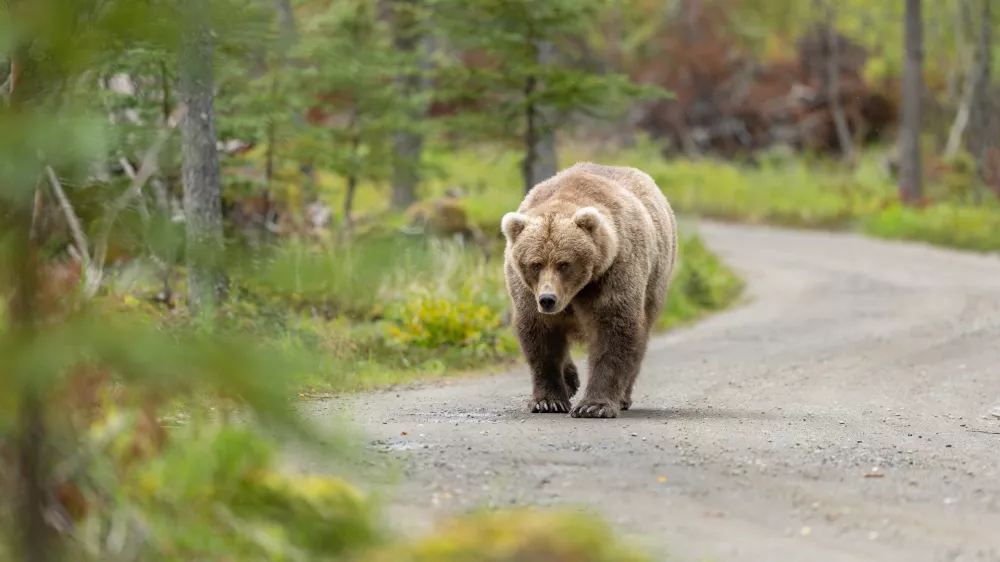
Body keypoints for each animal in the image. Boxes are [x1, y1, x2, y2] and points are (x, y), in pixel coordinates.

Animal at [500, 162, 677, 419]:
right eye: (535, 264)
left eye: (564, 263)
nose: (547, 299)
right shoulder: (526, 291)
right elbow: (540, 336)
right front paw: (548, 401)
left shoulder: (612, 273)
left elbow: (612, 330)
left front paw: (594, 405)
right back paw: (571, 380)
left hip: (655, 279)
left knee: (641, 335)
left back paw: (622, 396)